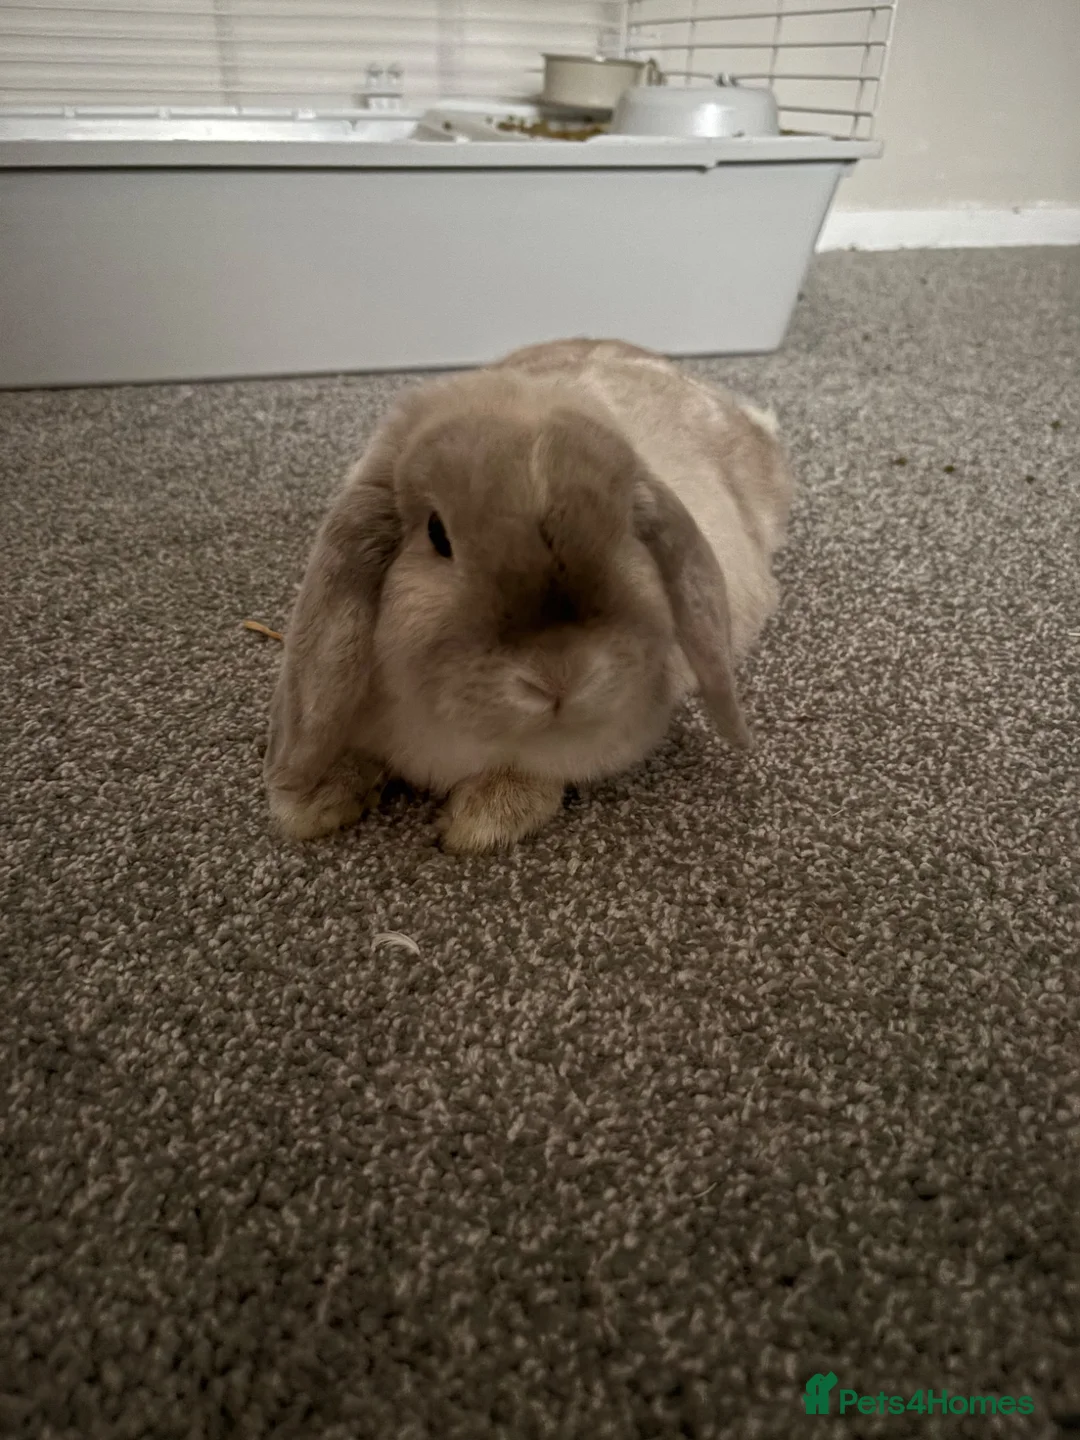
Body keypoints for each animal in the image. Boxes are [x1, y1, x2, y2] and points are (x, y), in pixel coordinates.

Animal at [263, 338, 792, 853]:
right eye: (437, 534)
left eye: (626, 532)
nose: (560, 675)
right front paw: (310, 803)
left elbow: (532, 773)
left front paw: (480, 822)